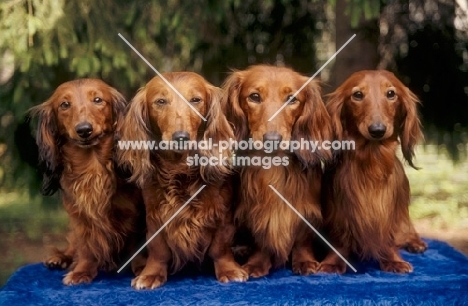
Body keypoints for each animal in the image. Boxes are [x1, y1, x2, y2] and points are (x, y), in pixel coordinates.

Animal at [29, 79, 144, 284]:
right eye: (64, 105)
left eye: (98, 100)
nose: (84, 130)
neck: (93, 167)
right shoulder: (80, 218)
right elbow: (85, 247)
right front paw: (82, 271)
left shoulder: (135, 214)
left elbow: (135, 245)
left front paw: (140, 268)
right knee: (72, 246)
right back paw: (59, 258)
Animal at [116, 71, 247, 290]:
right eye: (160, 101)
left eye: (196, 100)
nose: (181, 137)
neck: (180, 170)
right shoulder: (155, 216)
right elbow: (158, 249)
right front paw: (151, 273)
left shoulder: (223, 214)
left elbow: (220, 247)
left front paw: (229, 270)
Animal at [222, 64, 332, 278]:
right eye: (254, 97)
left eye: (291, 99)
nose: (272, 140)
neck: (274, 166)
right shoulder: (256, 211)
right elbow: (261, 238)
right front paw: (256, 263)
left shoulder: (307, 209)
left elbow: (302, 239)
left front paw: (305, 261)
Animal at [318, 70, 428, 274]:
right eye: (357, 95)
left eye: (391, 94)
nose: (377, 130)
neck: (372, 162)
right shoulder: (339, 214)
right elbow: (339, 241)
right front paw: (332, 262)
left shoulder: (390, 214)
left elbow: (389, 239)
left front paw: (393, 260)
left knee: (407, 230)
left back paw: (416, 243)